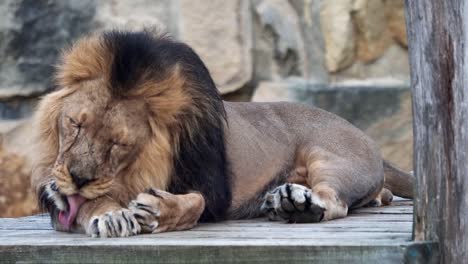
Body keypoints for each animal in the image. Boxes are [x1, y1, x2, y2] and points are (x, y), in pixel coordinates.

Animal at [32, 30, 414, 237]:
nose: (78, 178)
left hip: (334, 158)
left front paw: (157, 211)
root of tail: (363, 135)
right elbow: (80, 205)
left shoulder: (213, 187)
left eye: (119, 143)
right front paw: (109, 213)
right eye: (75, 124)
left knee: (334, 200)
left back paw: (299, 204)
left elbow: (196, 202)